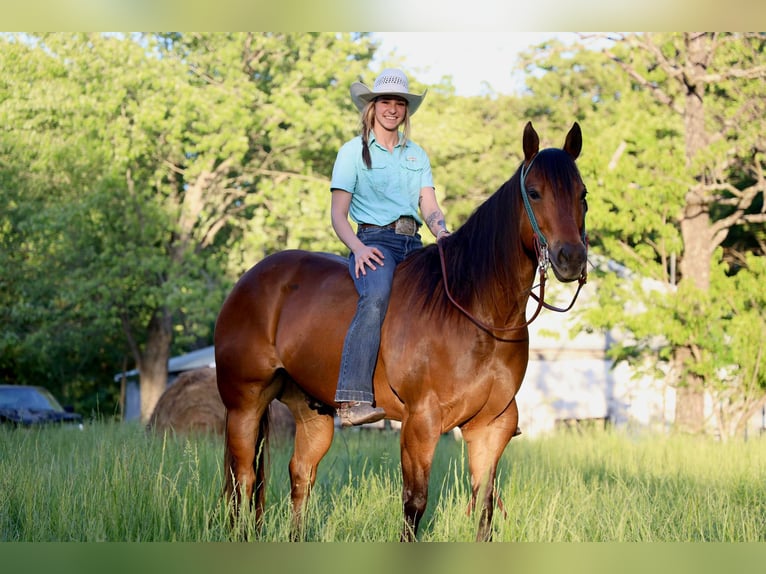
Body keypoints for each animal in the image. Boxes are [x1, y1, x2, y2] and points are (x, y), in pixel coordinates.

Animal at [214, 121, 588, 544]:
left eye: (582, 194)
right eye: (535, 192)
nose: (571, 258)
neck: (476, 313)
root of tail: (249, 280)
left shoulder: (492, 427)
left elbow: (485, 507)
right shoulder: (420, 423)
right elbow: (414, 504)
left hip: (313, 413)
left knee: (300, 476)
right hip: (244, 405)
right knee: (243, 479)